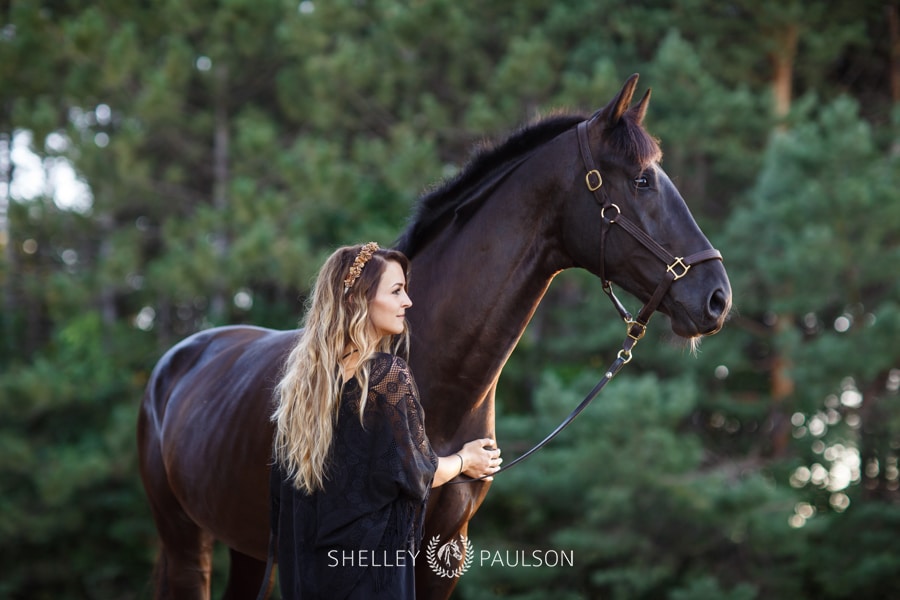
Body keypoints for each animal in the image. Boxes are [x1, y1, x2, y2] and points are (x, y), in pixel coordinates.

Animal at [141, 76, 732, 600]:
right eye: (641, 180)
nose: (717, 297)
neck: (440, 382)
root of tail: (179, 359)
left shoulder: (443, 553)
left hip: (247, 548)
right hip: (185, 540)